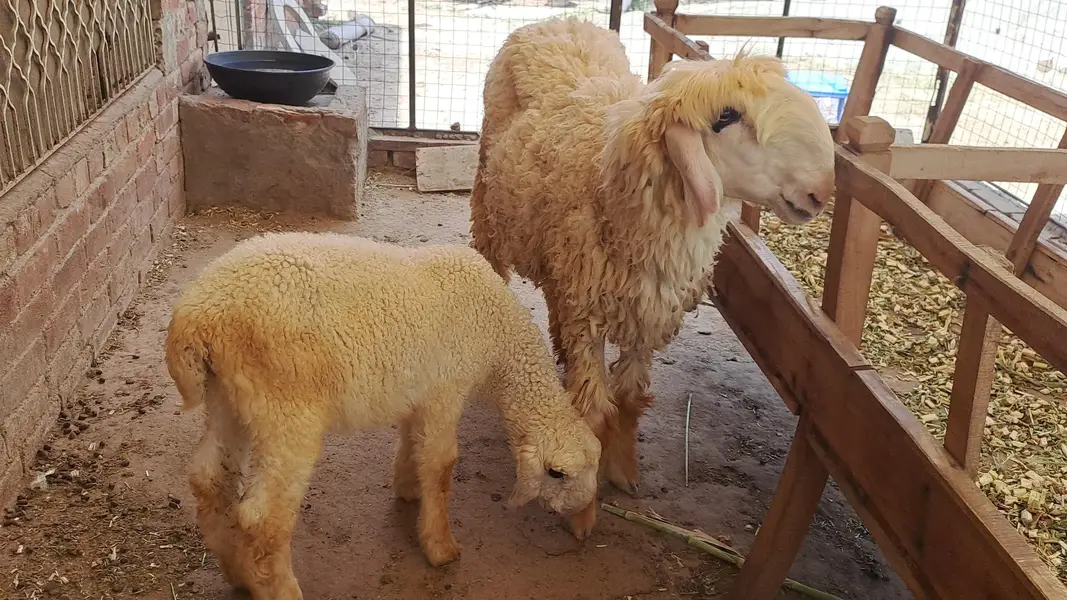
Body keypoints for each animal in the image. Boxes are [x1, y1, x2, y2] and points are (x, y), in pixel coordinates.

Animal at [164, 231, 602, 600]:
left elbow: (413, 444)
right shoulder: (446, 391)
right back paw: (280, 590)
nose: (585, 526)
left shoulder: (417, 393)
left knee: (208, 480)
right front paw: (440, 547)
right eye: (557, 474)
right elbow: (442, 465)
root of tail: (196, 315)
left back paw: (237, 574)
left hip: (228, 399)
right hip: (284, 411)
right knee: (262, 516)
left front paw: (408, 489)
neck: (501, 343)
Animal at [469, 17, 835, 533]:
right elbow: (594, 411)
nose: (822, 190)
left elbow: (627, 399)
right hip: (489, 205)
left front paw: (623, 471)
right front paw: (584, 511)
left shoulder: (647, 314)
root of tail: (558, 20)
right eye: (725, 117)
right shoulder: (590, 314)